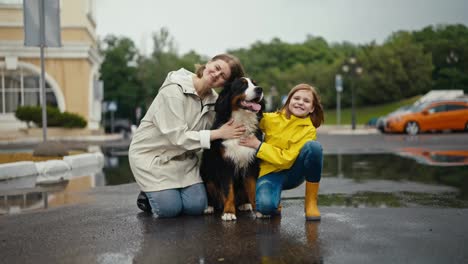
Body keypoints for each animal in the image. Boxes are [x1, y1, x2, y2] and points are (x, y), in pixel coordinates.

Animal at [200, 77, 266, 221]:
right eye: (242, 85)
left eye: (254, 83)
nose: (259, 89)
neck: (242, 123)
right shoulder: (225, 164)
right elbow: (228, 190)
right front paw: (229, 212)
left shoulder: (250, 164)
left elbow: (253, 188)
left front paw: (259, 210)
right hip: (206, 173)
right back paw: (209, 207)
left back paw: (244, 204)